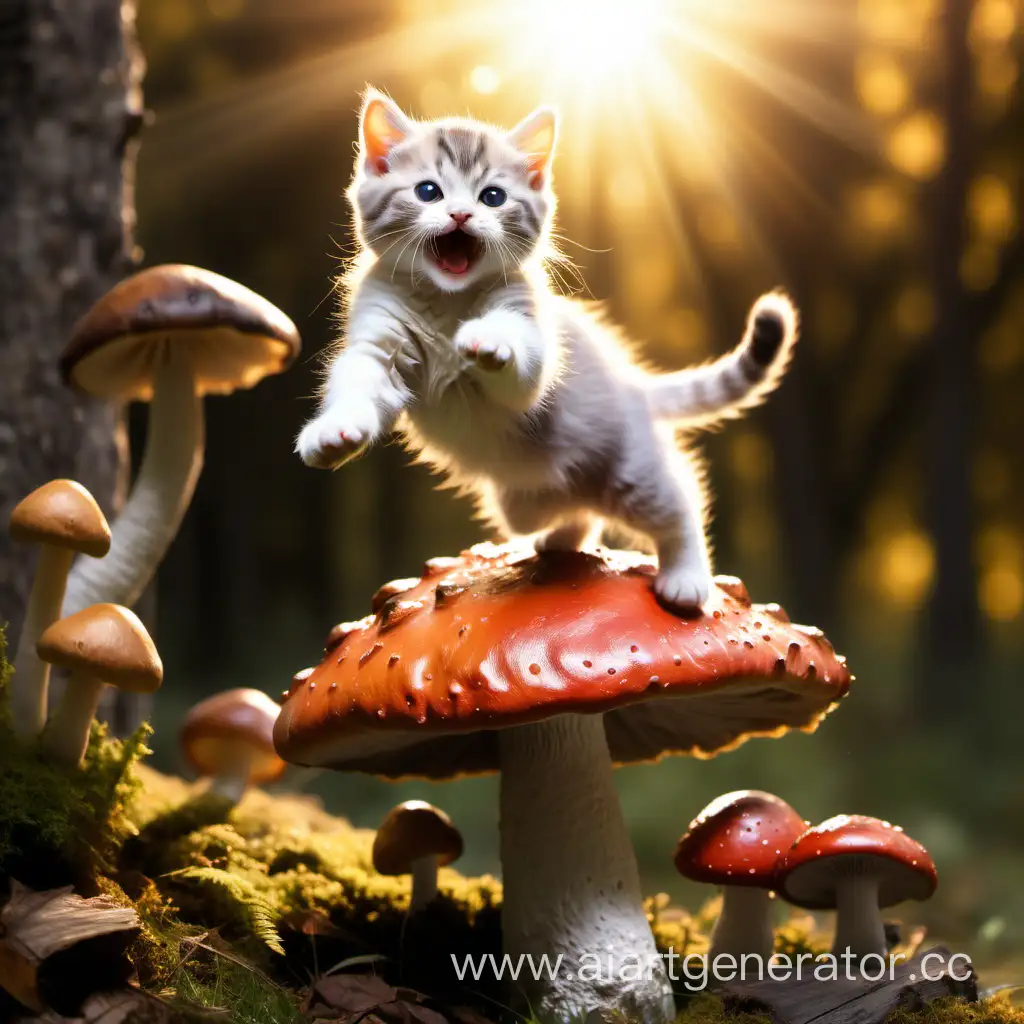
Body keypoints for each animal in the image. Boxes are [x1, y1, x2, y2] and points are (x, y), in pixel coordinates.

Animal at [296, 88, 798, 610]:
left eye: (492, 196)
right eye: (428, 191)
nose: (461, 214)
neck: (447, 301)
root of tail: (632, 385)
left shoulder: (532, 335)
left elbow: (521, 365)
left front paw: (488, 338)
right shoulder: (377, 342)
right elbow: (359, 386)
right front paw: (334, 433)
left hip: (630, 473)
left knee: (676, 500)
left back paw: (686, 577)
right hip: (519, 500)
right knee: (572, 511)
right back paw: (559, 540)